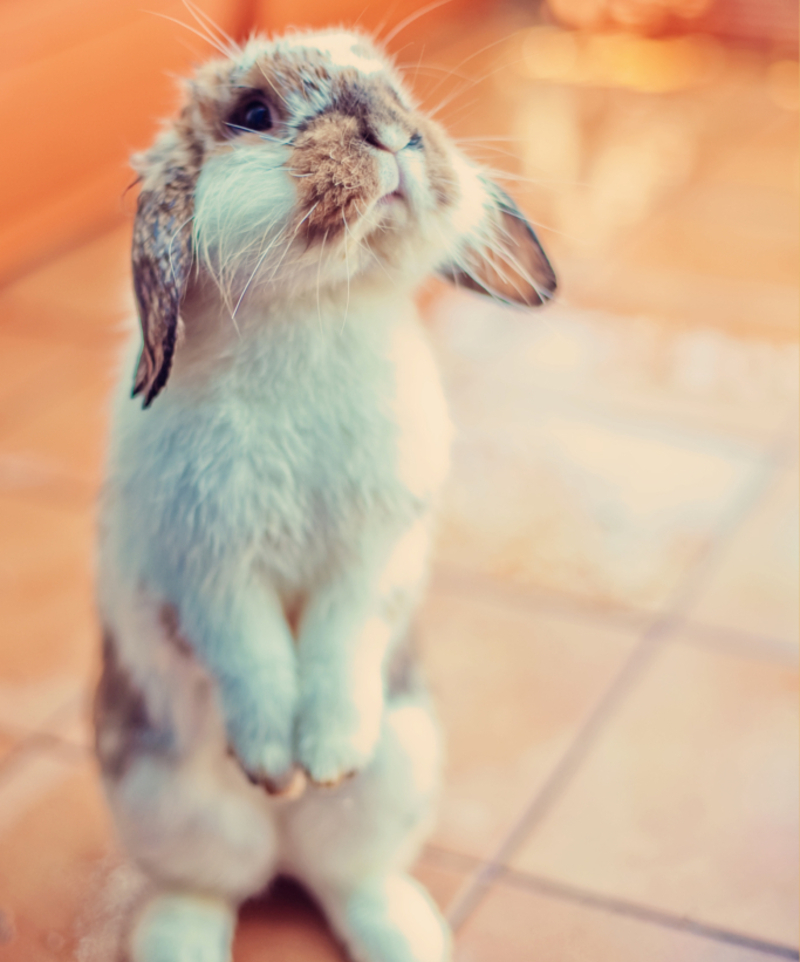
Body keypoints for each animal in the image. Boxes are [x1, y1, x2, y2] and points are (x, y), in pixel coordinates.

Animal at [94, 26, 556, 960]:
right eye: (252, 114)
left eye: (399, 93)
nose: (393, 135)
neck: (314, 308)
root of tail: (282, 847)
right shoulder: (206, 567)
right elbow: (253, 655)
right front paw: (278, 763)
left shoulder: (373, 555)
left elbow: (341, 641)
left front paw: (329, 757)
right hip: (161, 798)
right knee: (209, 888)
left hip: (400, 770)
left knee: (349, 879)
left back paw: (404, 928)